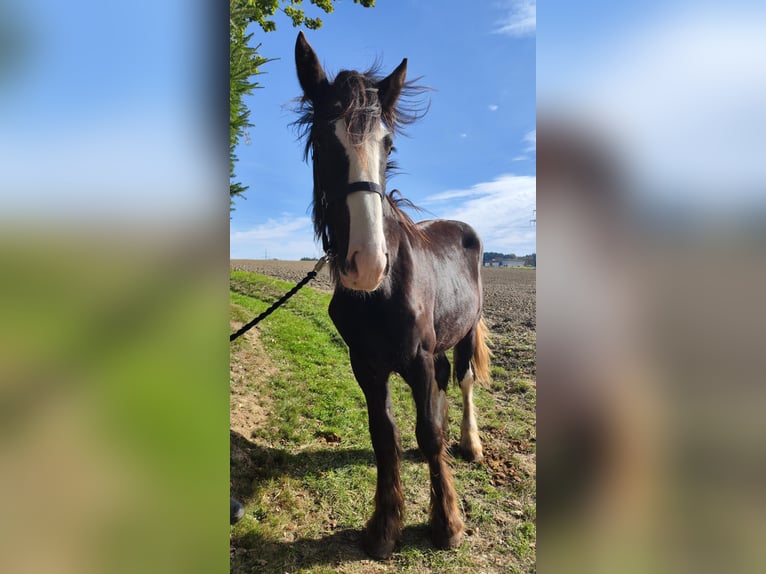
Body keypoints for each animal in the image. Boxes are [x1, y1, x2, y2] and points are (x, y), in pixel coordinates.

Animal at [294, 31, 491, 560]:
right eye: (323, 140)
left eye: (389, 143)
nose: (367, 263)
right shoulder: (366, 363)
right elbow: (385, 435)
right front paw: (384, 527)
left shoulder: (418, 357)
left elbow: (428, 431)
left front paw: (447, 524)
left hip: (465, 330)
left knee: (463, 380)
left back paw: (470, 444)